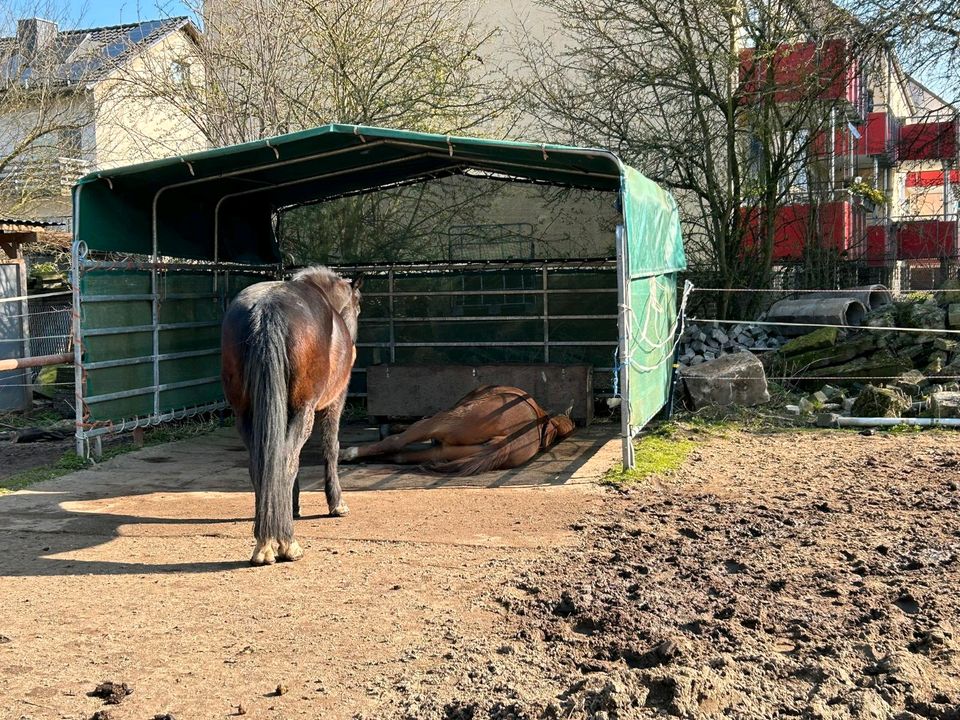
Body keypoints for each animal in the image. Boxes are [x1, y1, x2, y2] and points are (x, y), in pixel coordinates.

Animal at [219, 268, 362, 564]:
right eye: (358, 306)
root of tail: (267, 310)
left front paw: (291, 507)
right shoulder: (336, 400)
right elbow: (331, 448)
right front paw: (337, 504)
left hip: (245, 414)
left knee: (263, 462)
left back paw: (265, 542)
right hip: (302, 410)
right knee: (286, 460)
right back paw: (286, 543)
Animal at [342, 386, 572, 476]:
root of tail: (508, 440)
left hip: (444, 421)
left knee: (397, 442)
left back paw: (350, 453)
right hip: (444, 452)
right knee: (401, 455)